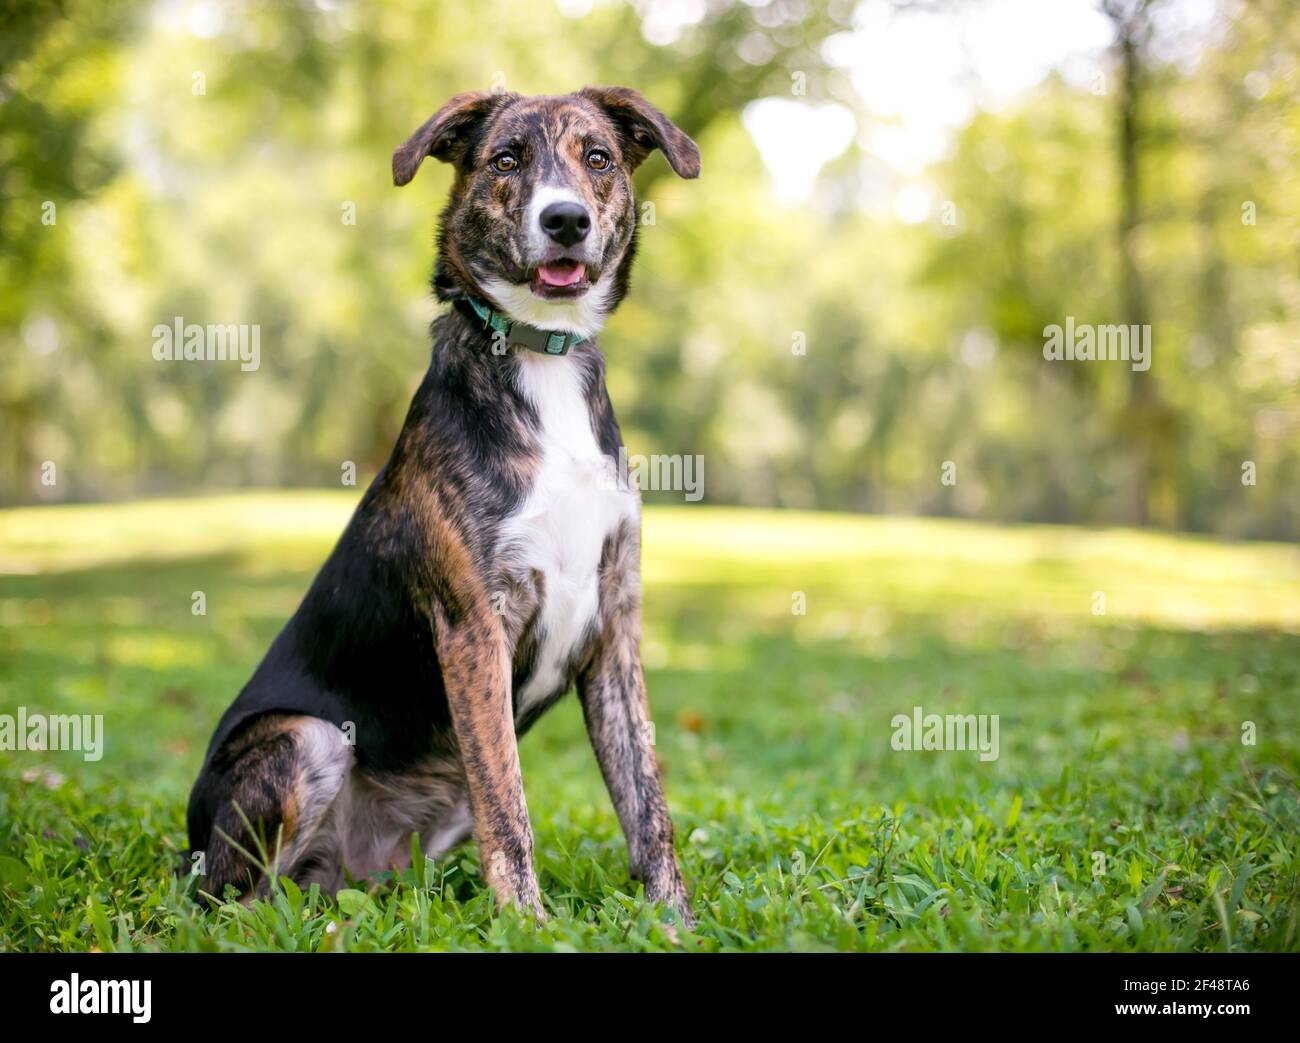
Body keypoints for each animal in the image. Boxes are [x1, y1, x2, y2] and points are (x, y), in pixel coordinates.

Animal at [183, 87, 702, 920]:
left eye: (597, 158)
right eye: (507, 159)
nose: (565, 221)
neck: (540, 357)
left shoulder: (616, 626)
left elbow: (646, 803)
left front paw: (673, 920)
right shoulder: (474, 628)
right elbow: (509, 808)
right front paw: (528, 925)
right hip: (306, 741)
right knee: (232, 899)